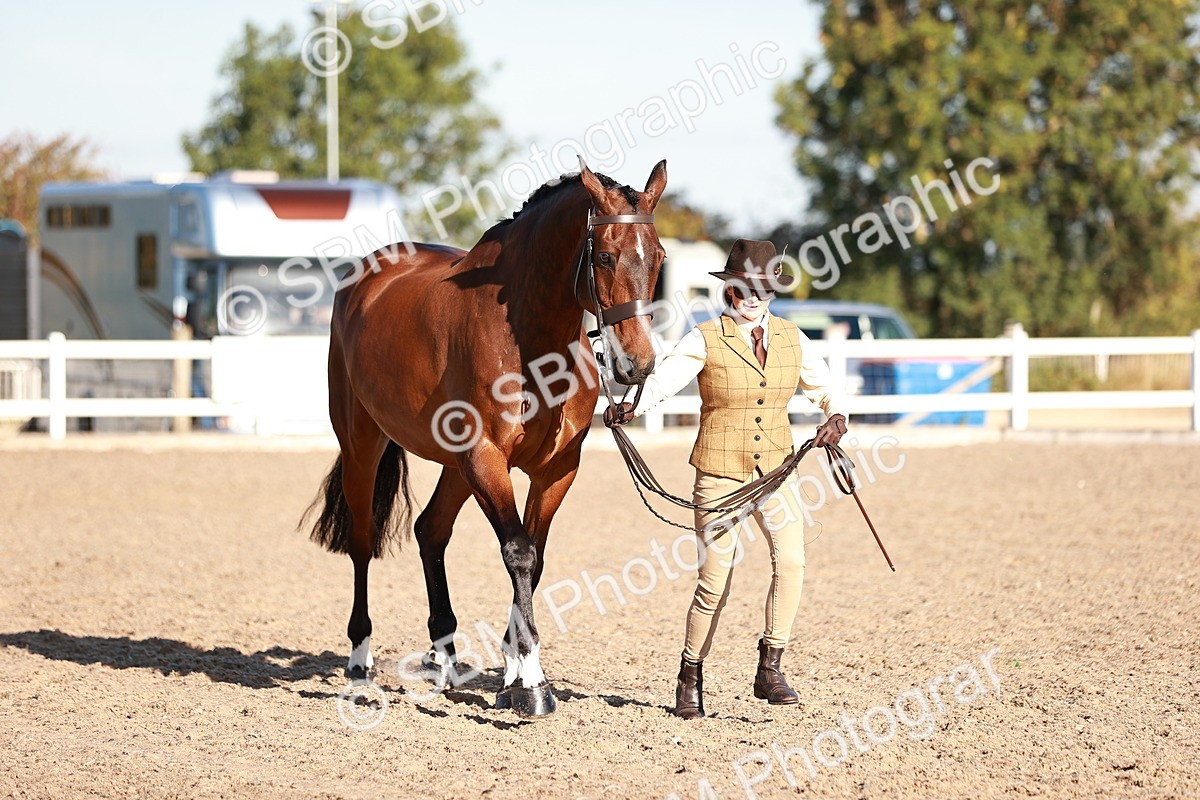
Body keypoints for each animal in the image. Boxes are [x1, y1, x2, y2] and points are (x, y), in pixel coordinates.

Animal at [303, 159, 668, 717]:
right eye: (604, 256)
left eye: (659, 257)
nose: (638, 363)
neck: (531, 343)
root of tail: (364, 278)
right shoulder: (487, 458)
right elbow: (518, 552)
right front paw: (532, 685)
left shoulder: (556, 469)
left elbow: (535, 562)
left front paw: (512, 675)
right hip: (364, 445)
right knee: (363, 544)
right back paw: (360, 664)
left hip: (455, 467)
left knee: (430, 532)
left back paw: (445, 661)